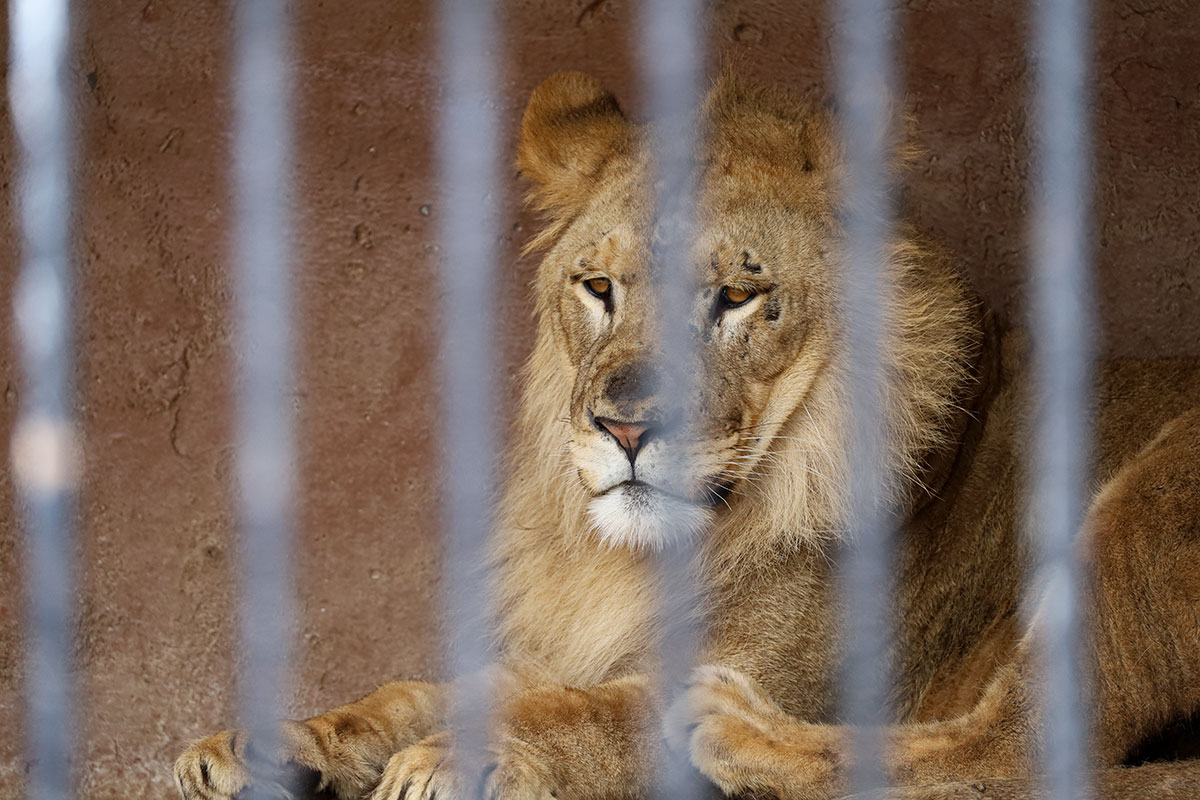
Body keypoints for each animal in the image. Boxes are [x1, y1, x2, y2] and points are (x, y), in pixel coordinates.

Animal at [174, 73, 1200, 800]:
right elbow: (421, 692)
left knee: (1013, 750)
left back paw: (738, 730)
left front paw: (459, 762)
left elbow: (582, 719)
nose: (625, 426)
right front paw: (270, 745)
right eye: (599, 287)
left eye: (738, 296)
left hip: (1151, 495)